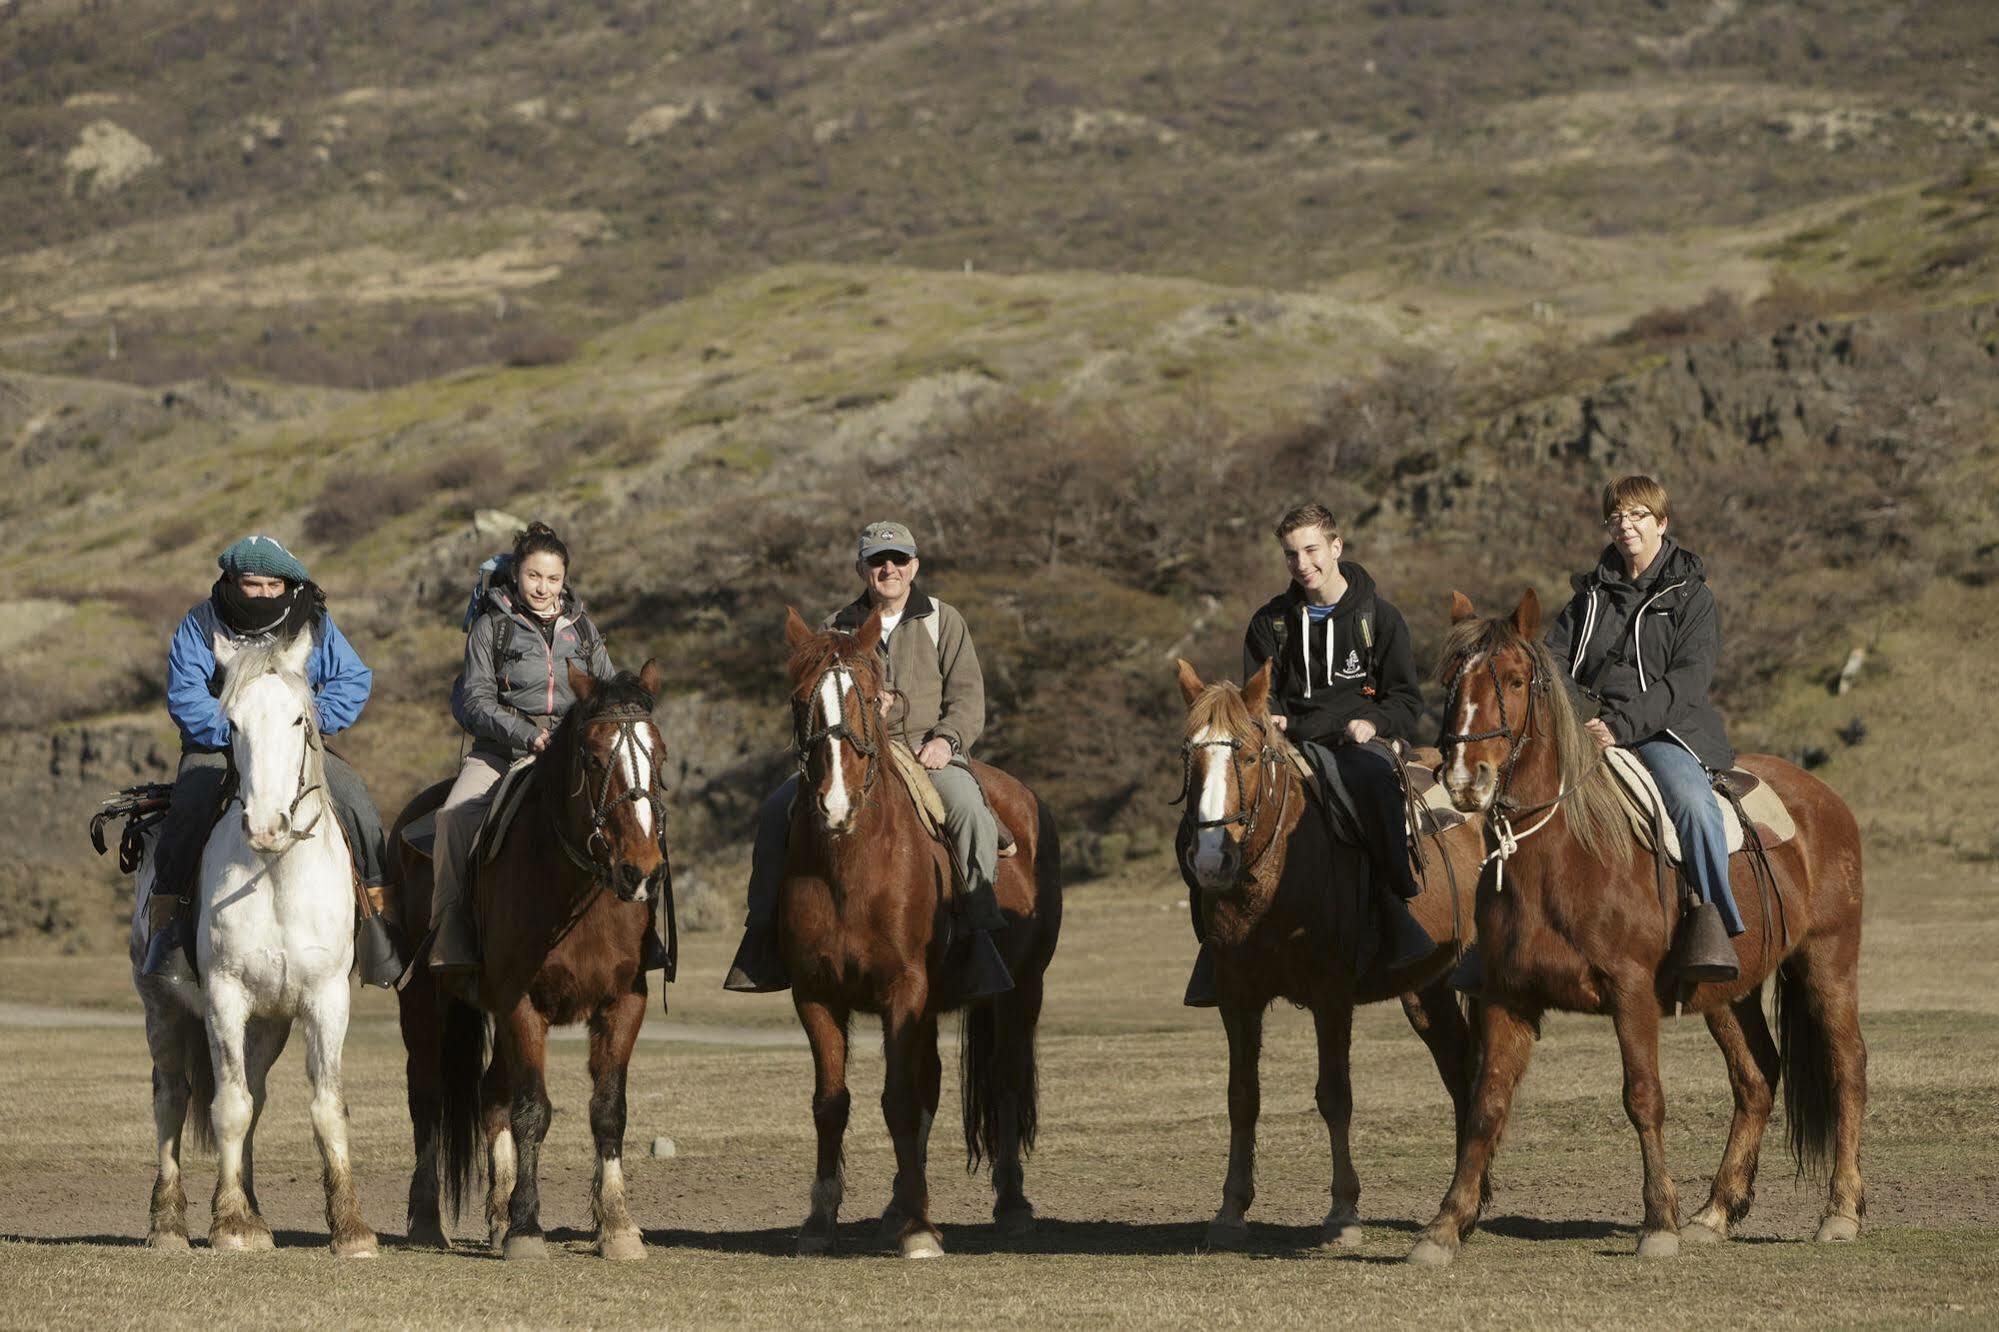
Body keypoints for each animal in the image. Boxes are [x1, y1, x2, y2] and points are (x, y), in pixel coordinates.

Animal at [127, 628, 375, 1248]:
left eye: (298, 718)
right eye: (232, 723)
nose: (266, 825)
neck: (275, 872)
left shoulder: (326, 999)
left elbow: (325, 1107)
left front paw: (351, 1229)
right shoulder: (224, 997)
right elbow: (228, 1106)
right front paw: (232, 1224)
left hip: (269, 1023)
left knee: (257, 1098)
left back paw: (254, 1207)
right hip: (162, 1009)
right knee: (172, 1097)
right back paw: (170, 1222)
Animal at [389, 660, 671, 1256]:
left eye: (659, 756)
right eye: (594, 759)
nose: (641, 871)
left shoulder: (623, 1003)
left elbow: (607, 1111)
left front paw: (617, 1226)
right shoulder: (523, 1004)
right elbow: (533, 1112)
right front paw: (526, 1227)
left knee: (490, 1094)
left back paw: (496, 1215)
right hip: (423, 1002)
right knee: (427, 1096)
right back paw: (427, 1220)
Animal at [775, 608, 1063, 1248]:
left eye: (865, 696)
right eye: (800, 699)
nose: (835, 803)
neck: (850, 864)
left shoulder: (903, 989)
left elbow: (900, 1100)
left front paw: (919, 1230)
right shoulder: (815, 993)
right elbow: (832, 1102)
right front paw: (820, 1220)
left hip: (1022, 991)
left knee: (1005, 1082)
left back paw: (1010, 1204)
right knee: (931, 1086)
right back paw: (898, 1205)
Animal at [1175, 660, 1495, 1248]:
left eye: (1248, 755)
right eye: (1190, 755)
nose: (1211, 860)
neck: (1278, 873)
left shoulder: (1331, 996)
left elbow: (1334, 1095)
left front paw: (1344, 1212)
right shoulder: (1237, 998)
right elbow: (1242, 1097)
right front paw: (1231, 1211)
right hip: (1428, 990)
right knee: (1457, 1066)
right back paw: (1470, 1201)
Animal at [1415, 588, 1863, 1264]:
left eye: (1516, 680)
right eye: (1449, 682)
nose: (1467, 779)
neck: (1565, 853)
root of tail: (1825, 799)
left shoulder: (1631, 993)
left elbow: (1643, 1096)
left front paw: (1658, 1222)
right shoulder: (1504, 997)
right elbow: (1486, 1104)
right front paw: (1446, 1224)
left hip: (1827, 965)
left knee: (1847, 1070)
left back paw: (1840, 1212)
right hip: (1726, 991)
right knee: (1757, 1077)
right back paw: (1715, 1211)